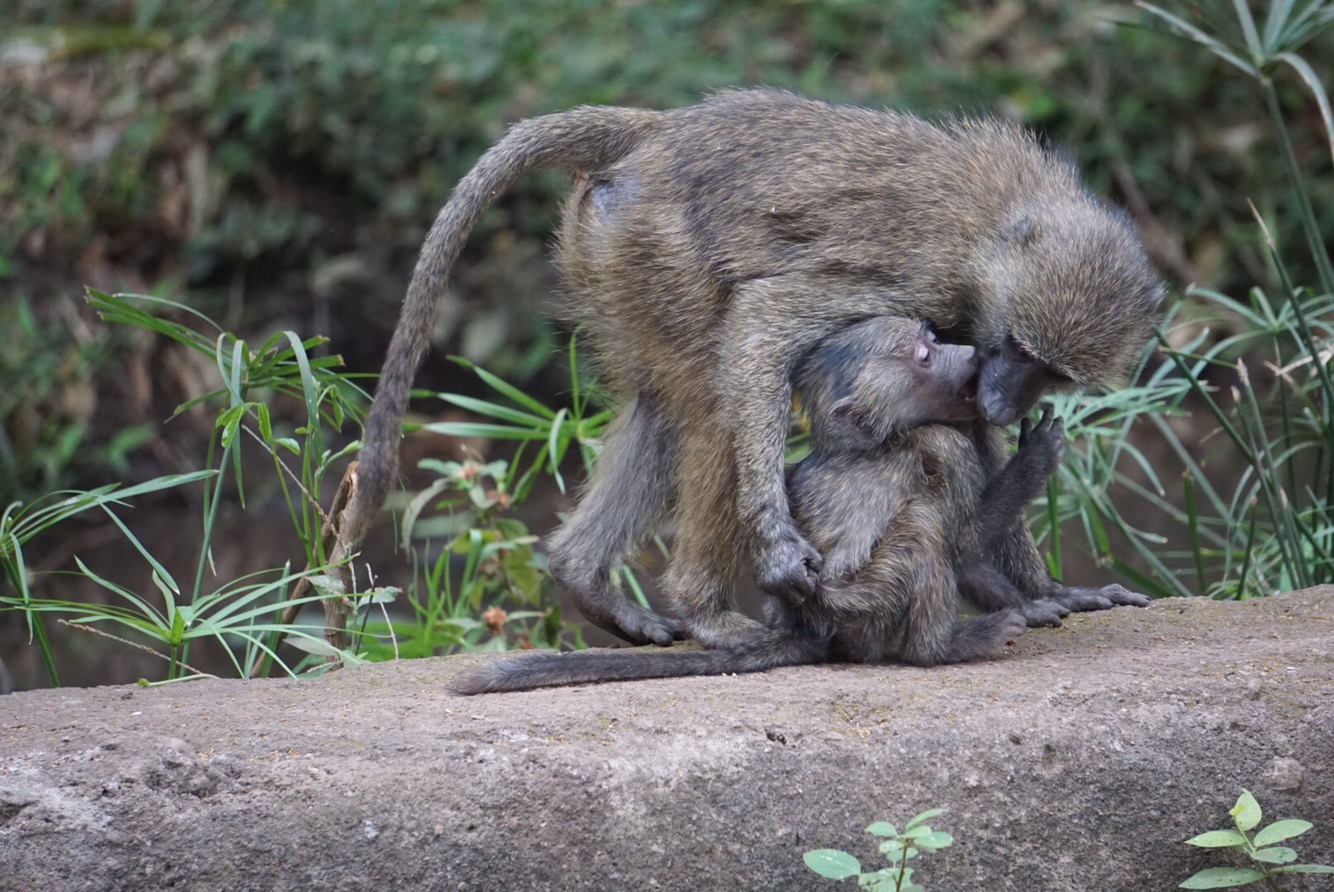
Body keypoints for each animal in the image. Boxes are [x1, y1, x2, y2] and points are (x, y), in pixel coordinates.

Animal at [342, 88, 1162, 649]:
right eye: (1021, 351)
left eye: (1049, 371)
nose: (1001, 399)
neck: (999, 230)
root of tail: (660, 130)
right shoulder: (923, 277)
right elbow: (767, 319)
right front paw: (776, 545)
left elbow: (970, 444)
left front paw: (1043, 587)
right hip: (653, 244)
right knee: (711, 404)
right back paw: (704, 610)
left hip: (608, 254)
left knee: (664, 405)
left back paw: (584, 579)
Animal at [451, 316, 1059, 694]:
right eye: (925, 356)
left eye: (931, 338)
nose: (970, 353)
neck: (865, 444)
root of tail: (815, 630)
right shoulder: (942, 444)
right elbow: (962, 542)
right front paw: (1033, 463)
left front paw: (1047, 600)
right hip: (866, 615)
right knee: (924, 529)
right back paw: (944, 647)